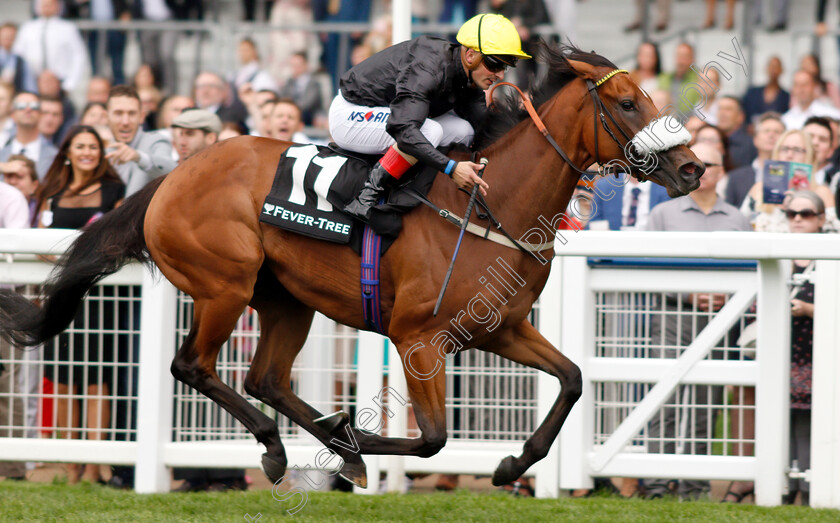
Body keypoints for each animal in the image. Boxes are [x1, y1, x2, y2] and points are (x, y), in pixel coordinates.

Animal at [0, 46, 704, 492]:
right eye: (627, 103)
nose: (694, 167)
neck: (492, 204)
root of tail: (171, 176)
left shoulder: (499, 327)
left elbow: (574, 378)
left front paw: (510, 466)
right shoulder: (418, 338)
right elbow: (432, 439)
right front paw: (355, 446)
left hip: (286, 299)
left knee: (264, 377)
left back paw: (312, 438)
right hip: (223, 286)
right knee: (192, 366)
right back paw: (287, 446)